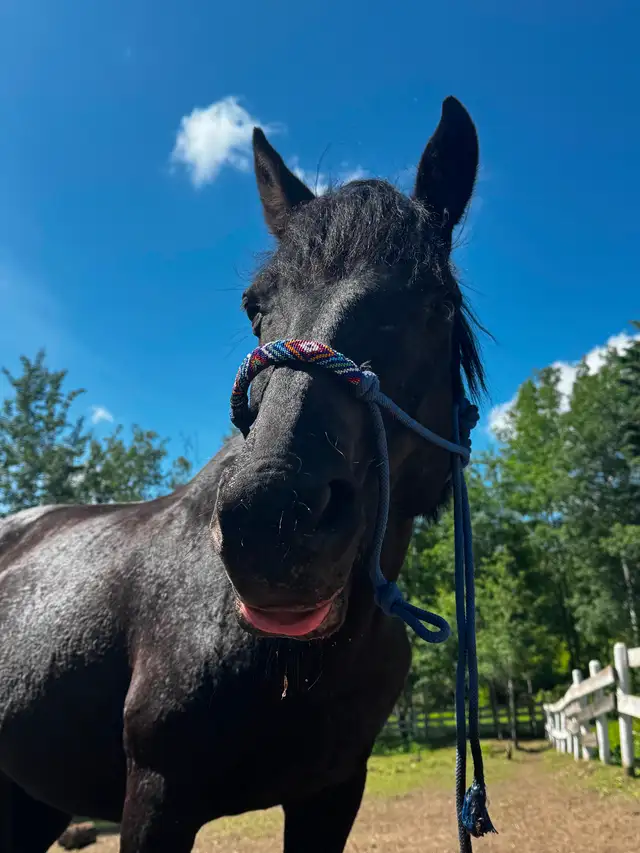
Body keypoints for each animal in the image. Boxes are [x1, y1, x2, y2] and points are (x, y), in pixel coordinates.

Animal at [0, 95, 485, 853]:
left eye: (437, 303)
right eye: (256, 307)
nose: (272, 522)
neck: (296, 664)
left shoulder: (332, 792)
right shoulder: (156, 797)